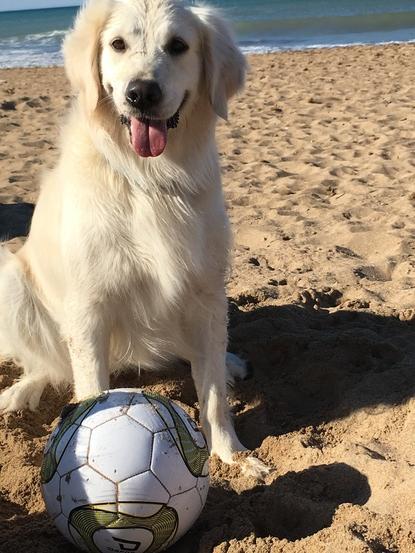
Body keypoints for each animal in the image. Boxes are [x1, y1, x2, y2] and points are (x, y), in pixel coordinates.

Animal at [0, 0, 270, 474]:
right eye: (117, 44)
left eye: (178, 45)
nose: (140, 93)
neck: (148, 178)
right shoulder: (88, 308)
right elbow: (89, 390)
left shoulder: (205, 292)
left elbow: (213, 395)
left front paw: (232, 455)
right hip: (12, 278)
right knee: (47, 362)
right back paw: (20, 390)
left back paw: (229, 361)